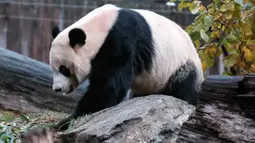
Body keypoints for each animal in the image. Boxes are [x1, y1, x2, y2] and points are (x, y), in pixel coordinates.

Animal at [49, 3, 204, 130]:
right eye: (54, 69)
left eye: (64, 69)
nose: (57, 89)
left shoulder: (120, 40)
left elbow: (108, 85)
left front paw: (68, 121)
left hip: (180, 65)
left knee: (183, 86)